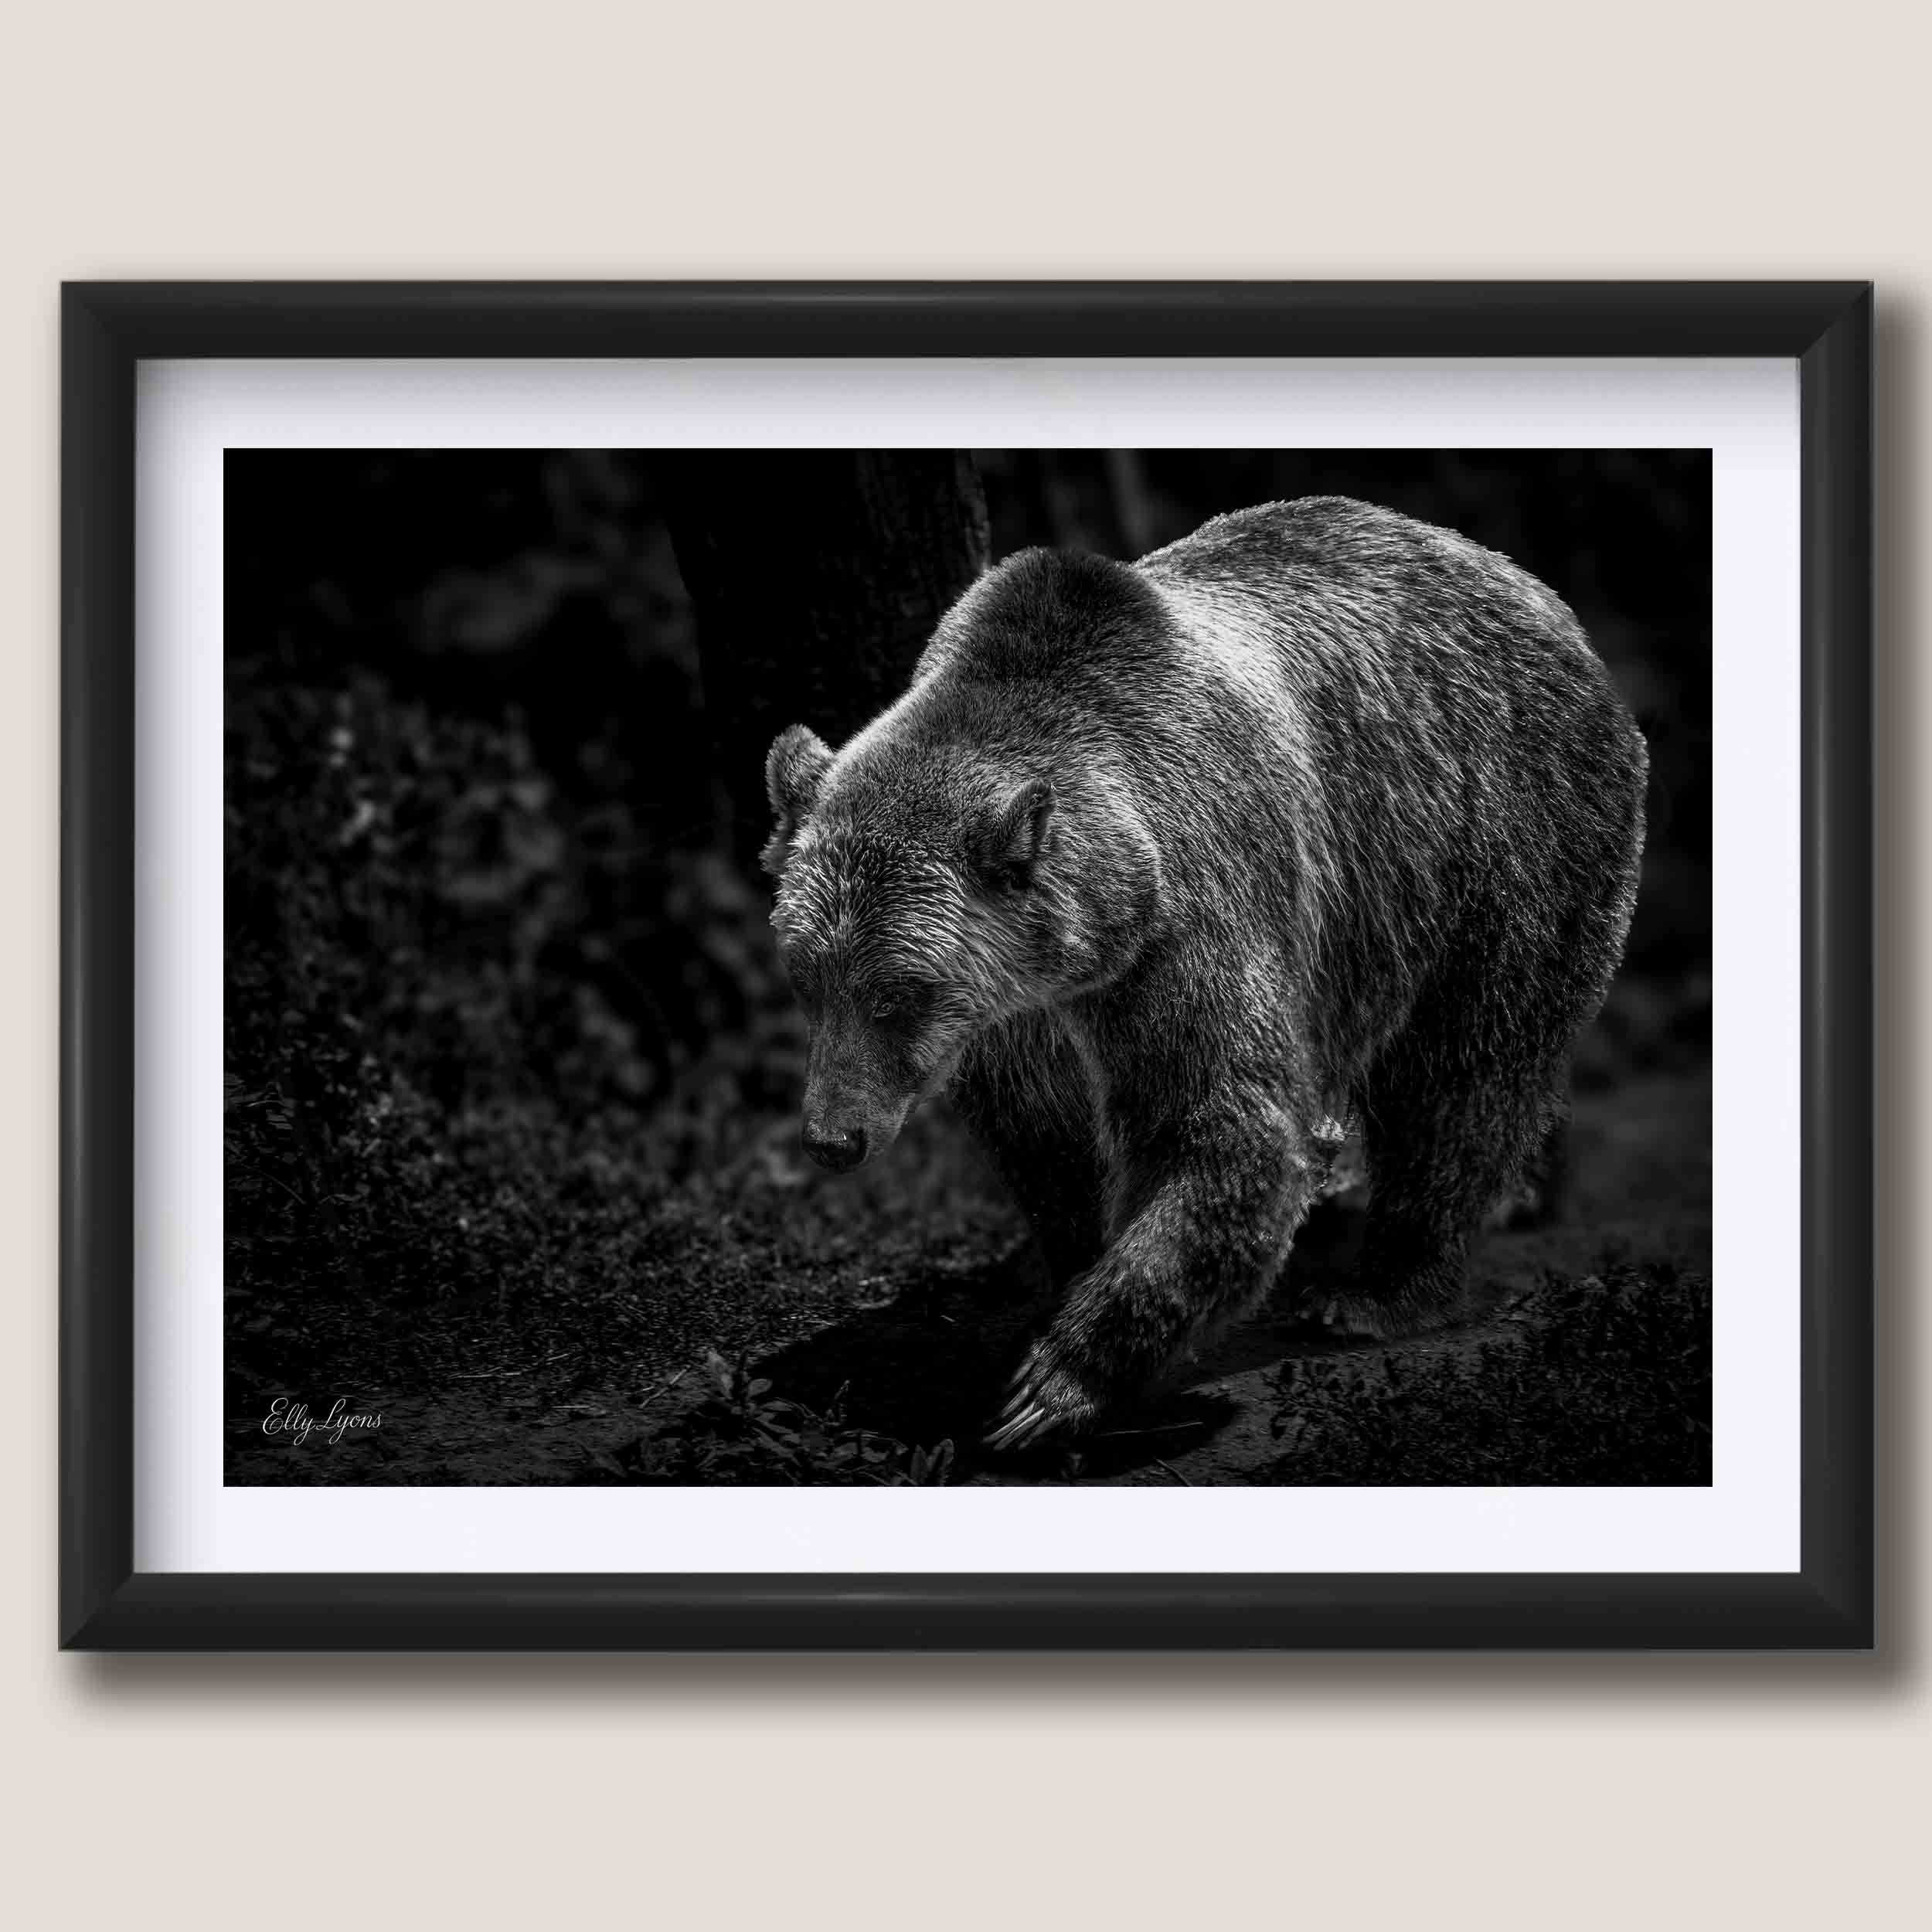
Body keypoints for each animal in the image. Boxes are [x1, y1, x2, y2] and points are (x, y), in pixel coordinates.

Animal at [761, 497, 1648, 1450]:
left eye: (896, 993)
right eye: (808, 978)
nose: (833, 1138)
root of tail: (1532, 591)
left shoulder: (1190, 916)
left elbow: (1220, 1123)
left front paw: (1052, 1384)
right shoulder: (1016, 1017)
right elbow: (1050, 1141)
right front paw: (1065, 1275)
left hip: (1497, 841)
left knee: (1465, 1073)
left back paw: (1379, 1288)